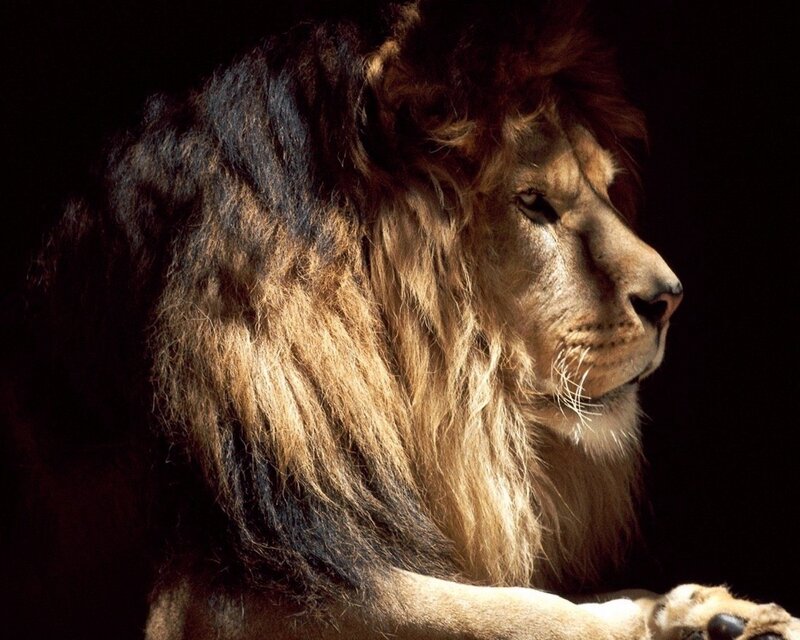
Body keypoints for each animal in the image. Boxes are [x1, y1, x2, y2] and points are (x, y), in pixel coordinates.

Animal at [2, 1, 797, 639]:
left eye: (605, 189)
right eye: (534, 203)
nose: (670, 298)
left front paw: (707, 607)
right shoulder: (212, 588)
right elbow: (498, 608)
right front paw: (673, 622)